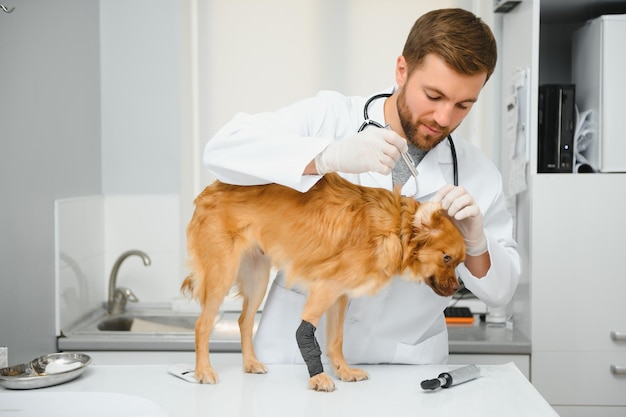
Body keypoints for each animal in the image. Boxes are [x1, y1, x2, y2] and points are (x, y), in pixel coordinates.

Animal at [180, 171, 464, 390]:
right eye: (447, 258)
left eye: (460, 262)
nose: (457, 288)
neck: (395, 229)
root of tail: (209, 190)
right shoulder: (325, 288)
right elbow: (305, 332)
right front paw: (318, 377)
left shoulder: (340, 296)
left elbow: (336, 340)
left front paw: (344, 371)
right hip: (222, 274)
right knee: (202, 325)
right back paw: (203, 371)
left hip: (257, 279)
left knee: (244, 320)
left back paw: (250, 363)